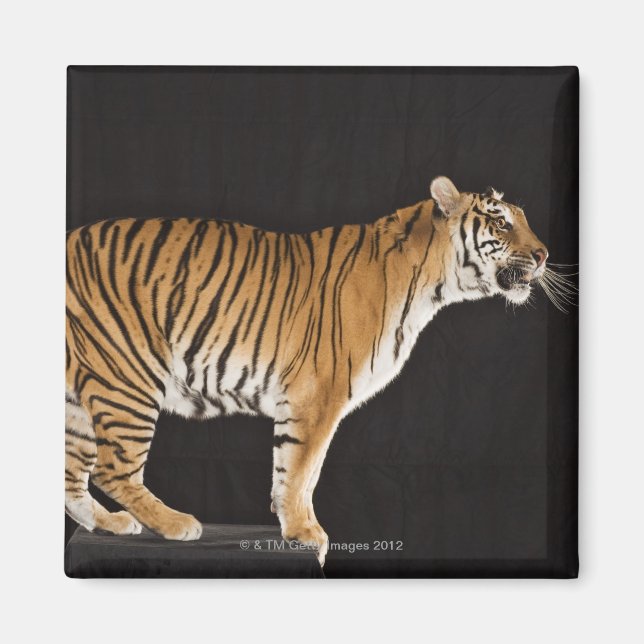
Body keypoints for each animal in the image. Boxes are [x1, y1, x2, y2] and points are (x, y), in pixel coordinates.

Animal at [65, 175, 549, 566]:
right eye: (502, 223)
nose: (544, 255)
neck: (431, 283)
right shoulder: (317, 395)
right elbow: (300, 469)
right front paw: (305, 533)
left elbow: (296, 470)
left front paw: (295, 527)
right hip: (127, 377)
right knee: (112, 466)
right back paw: (176, 523)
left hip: (79, 398)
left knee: (73, 473)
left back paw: (110, 523)